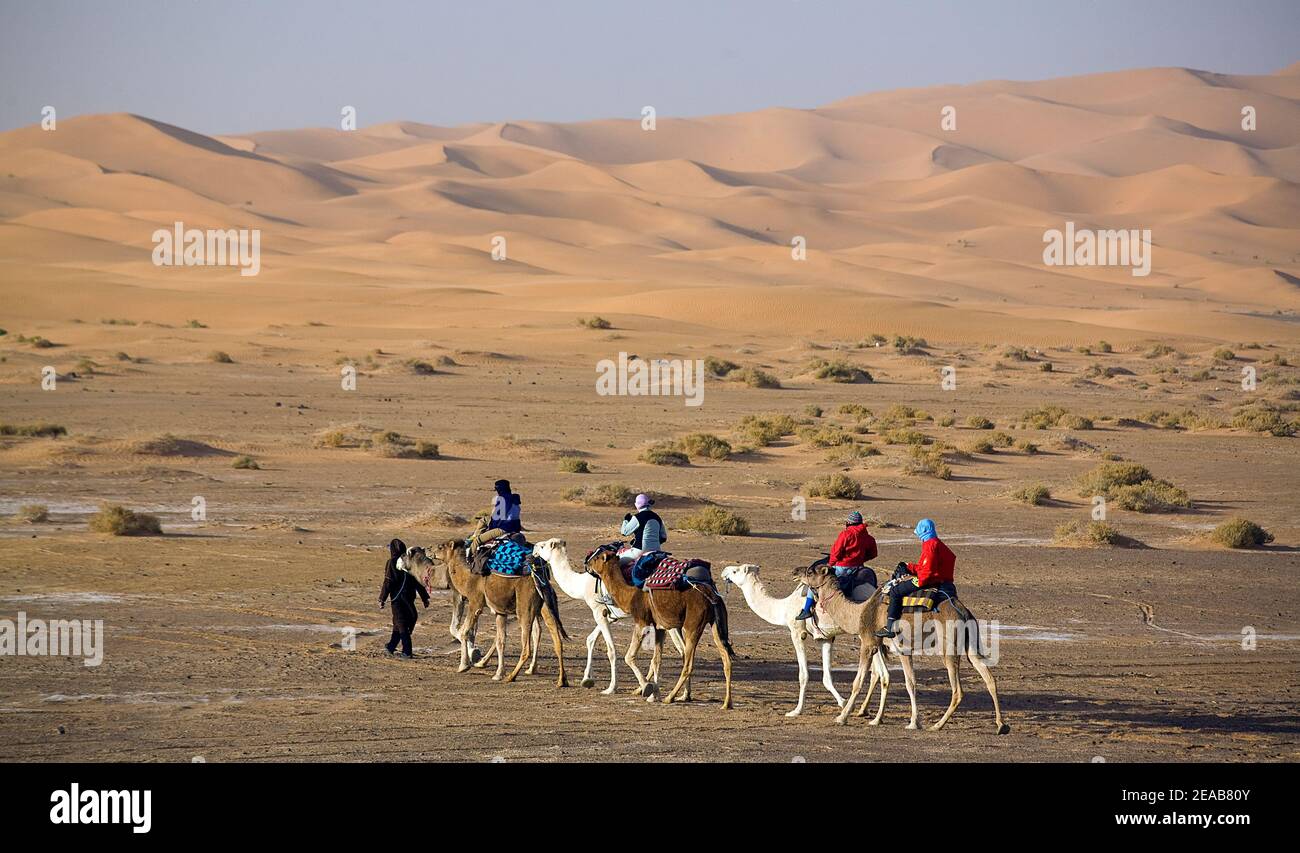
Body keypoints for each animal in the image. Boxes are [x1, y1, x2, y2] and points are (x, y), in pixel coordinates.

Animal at [405, 543, 569, 691]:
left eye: (441, 547)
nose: (427, 548)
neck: (465, 576)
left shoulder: (474, 601)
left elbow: (463, 631)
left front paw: (465, 664)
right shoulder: (499, 612)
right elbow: (500, 640)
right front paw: (497, 673)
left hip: (524, 607)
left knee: (528, 644)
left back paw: (512, 676)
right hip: (545, 606)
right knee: (556, 640)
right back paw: (561, 680)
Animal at [533, 535, 686, 696]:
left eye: (543, 546)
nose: (534, 547)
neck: (582, 585)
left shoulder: (598, 611)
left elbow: (611, 650)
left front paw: (612, 687)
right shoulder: (609, 615)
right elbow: (590, 639)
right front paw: (587, 680)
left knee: (682, 649)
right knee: (682, 649)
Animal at [587, 548, 738, 707]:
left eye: (597, 557)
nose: (587, 564)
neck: (629, 594)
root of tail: (711, 594)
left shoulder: (641, 621)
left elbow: (629, 656)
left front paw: (647, 688)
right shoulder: (660, 627)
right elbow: (656, 660)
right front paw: (654, 694)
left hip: (692, 624)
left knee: (688, 664)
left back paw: (670, 697)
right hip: (716, 623)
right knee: (726, 659)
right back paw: (726, 703)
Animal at [717, 566, 889, 717]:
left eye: (736, 571)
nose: (724, 571)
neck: (783, 607)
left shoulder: (797, 632)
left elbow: (803, 675)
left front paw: (796, 711)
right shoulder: (825, 638)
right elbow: (826, 677)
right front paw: (843, 703)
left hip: (865, 633)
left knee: (878, 671)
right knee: (878, 672)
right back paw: (864, 711)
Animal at [785, 566, 1008, 733]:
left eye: (811, 571)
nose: (795, 571)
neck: (859, 611)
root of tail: (963, 610)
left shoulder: (869, 642)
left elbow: (859, 682)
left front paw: (842, 717)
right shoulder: (895, 648)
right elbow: (906, 682)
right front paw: (889, 720)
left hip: (949, 645)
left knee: (958, 689)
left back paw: (937, 725)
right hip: (970, 644)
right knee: (989, 678)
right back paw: (1001, 725)